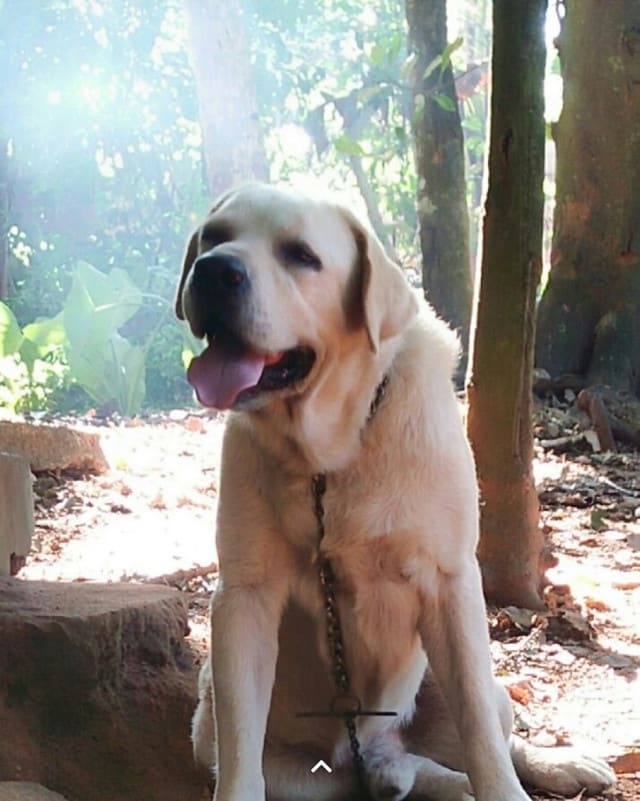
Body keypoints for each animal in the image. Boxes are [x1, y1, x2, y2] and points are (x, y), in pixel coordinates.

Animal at [175, 184, 616, 800]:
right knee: (375, 772)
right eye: (213, 237)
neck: (334, 454)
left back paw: (559, 763)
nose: (214, 271)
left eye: (302, 255)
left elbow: (481, 732)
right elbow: (241, 753)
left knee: (491, 732)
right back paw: (403, 778)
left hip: (460, 681)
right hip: (233, 736)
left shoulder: (450, 582)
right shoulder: (244, 597)